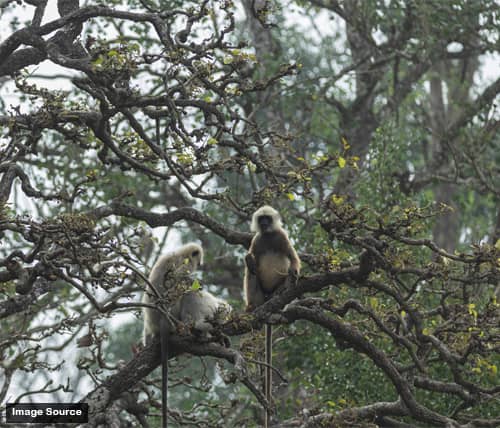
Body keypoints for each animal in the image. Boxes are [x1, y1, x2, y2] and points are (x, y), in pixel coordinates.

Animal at [141, 244, 230, 428]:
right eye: (198, 261)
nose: (199, 266)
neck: (179, 254)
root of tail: (161, 324)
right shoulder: (182, 265)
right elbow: (183, 283)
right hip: (175, 313)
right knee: (189, 291)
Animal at [243, 206, 300, 426]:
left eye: (268, 218)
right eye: (262, 220)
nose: (265, 224)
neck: (268, 235)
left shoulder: (281, 236)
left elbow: (293, 259)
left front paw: (295, 271)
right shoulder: (257, 240)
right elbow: (251, 258)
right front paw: (249, 260)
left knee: (287, 268)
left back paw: (281, 292)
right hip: (259, 293)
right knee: (250, 270)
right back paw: (252, 306)